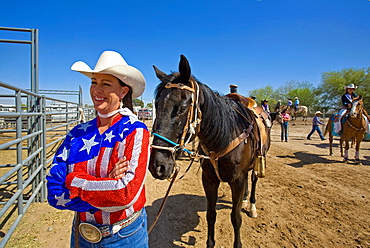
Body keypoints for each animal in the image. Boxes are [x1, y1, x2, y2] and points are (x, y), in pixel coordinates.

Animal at [148, 55, 272, 247]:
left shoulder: (237, 181)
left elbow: (235, 217)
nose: (157, 165)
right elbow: (211, 214)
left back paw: (251, 206)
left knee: (253, 180)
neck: (223, 139)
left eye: (182, 108)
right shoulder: (209, 180)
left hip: (260, 159)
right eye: (156, 106)